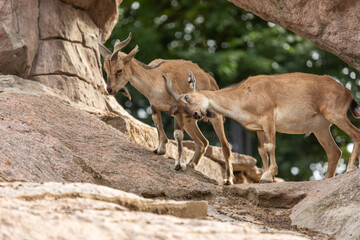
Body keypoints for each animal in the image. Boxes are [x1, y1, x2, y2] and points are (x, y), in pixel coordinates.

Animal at [97, 30, 235, 184]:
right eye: (105, 69)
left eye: (119, 70)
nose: (110, 90)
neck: (155, 80)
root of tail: (212, 81)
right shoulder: (155, 107)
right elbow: (157, 122)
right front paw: (160, 150)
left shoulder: (177, 110)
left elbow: (177, 134)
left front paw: (179, 164)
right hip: (190, 120)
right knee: (203, 142)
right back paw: (192, 164)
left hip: (215, 117)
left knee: (225, 145)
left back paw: (228, 179)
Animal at [165, 72, 360, 183]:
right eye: (181, 109)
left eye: (187, 97)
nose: (197, 114)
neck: (244, 96)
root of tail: (348, 93)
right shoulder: (258, 128)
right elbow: (260, 150)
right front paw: (268, 175)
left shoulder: (268, 118)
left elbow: (269, 145)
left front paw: (268, 176)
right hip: (321, 128)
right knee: (334, 151)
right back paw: (327, 178)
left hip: (335, 114)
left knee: (356, 134)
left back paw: (351, 168)